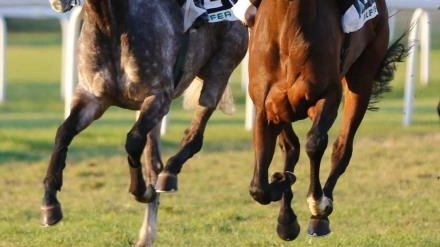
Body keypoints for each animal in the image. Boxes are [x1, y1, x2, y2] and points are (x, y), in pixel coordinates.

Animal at [41, 0, 248, 230]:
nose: (58, 3)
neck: (111, 25)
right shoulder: (92, 97)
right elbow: (63, 133)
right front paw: (50, 204)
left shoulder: (159, 95)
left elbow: (133, 141)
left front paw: (142, 190)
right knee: (154, 159)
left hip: (221, 66)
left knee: (195, 134)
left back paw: (169, 173)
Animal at [246, 0, 408, 240]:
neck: (288, 29)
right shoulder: (265, 108)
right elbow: (259, 187)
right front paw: (282, 182)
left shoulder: (327, 95)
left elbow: (315, 143)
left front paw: (316, 203)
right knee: (291, 147)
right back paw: (286, 218)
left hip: (362, 77)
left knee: (342, 148)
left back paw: (318, 217)